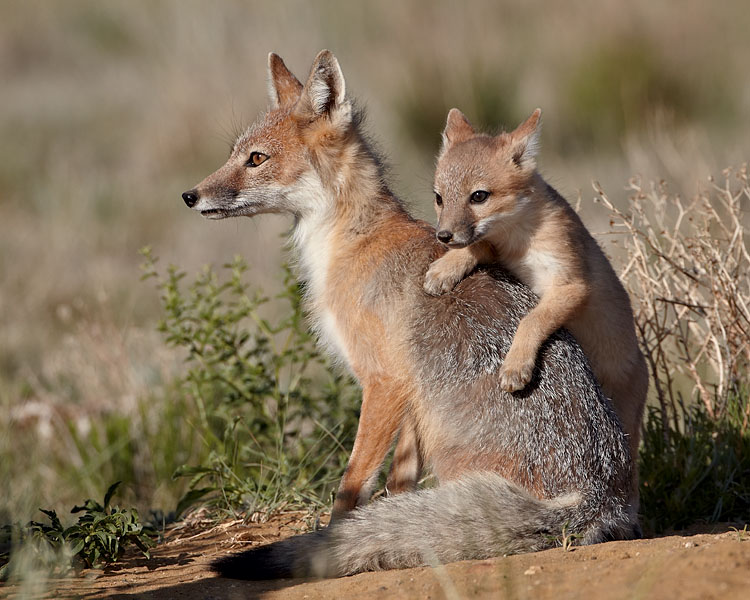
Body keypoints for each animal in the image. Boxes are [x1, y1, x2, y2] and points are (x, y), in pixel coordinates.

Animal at [184, 50, 640, 576]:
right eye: (234, 153)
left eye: (256, 159)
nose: (190, 195)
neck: (351, 242)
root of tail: (596, 496)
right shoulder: (407, 400)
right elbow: (397, 482)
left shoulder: (384, 380)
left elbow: (351, 486)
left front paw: (333, 540)